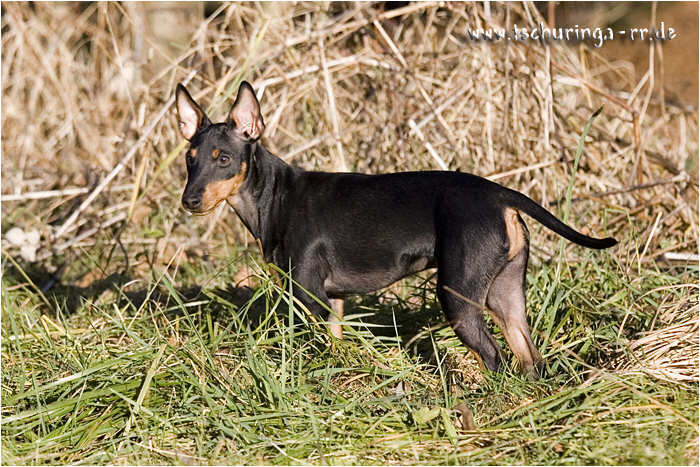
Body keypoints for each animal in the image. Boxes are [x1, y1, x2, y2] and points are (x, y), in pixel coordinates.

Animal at [175, 81, 616, 378]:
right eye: (190, 160)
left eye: (224, 158)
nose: (189, 201)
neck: (276, 195)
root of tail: (499, 195)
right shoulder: (333, 303)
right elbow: (335, 344)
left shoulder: (308, 295)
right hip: (505, 294)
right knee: (528, 359)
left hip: (458, 297)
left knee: (494, 358)